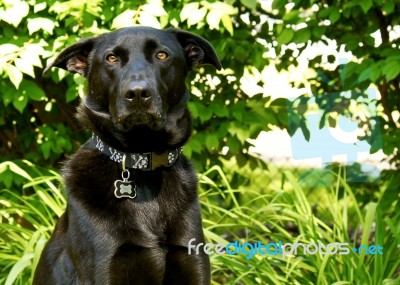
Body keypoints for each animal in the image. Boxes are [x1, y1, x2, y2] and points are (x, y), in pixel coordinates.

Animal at [33, 26, 222, 284]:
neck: (142, 158)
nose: (138, 93)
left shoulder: (192, 261)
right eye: (111, 58)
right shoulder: (107, 267)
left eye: (162, 55)